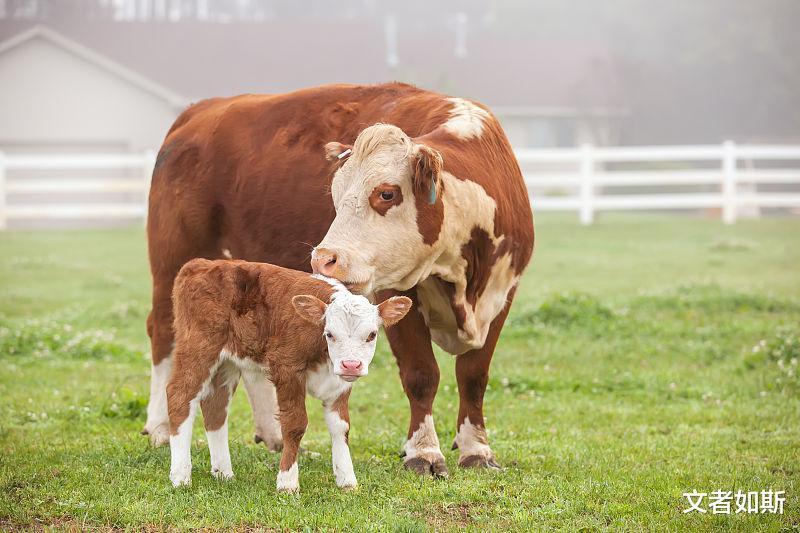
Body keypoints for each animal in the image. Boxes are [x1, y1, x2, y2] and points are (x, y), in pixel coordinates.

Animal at [165, 258, 410, 490]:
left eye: (372, 334)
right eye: (330, 334)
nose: (351, 365)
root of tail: (201, 264)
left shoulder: (340, 383)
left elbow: (341, 427)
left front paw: (347, 480)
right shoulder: (287, 369)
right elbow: (295, 424)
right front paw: (287, 482)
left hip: (227, 362)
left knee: (215, 406)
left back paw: (223, 473)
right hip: (198, 347)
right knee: (179, 396)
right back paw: (180, 476)